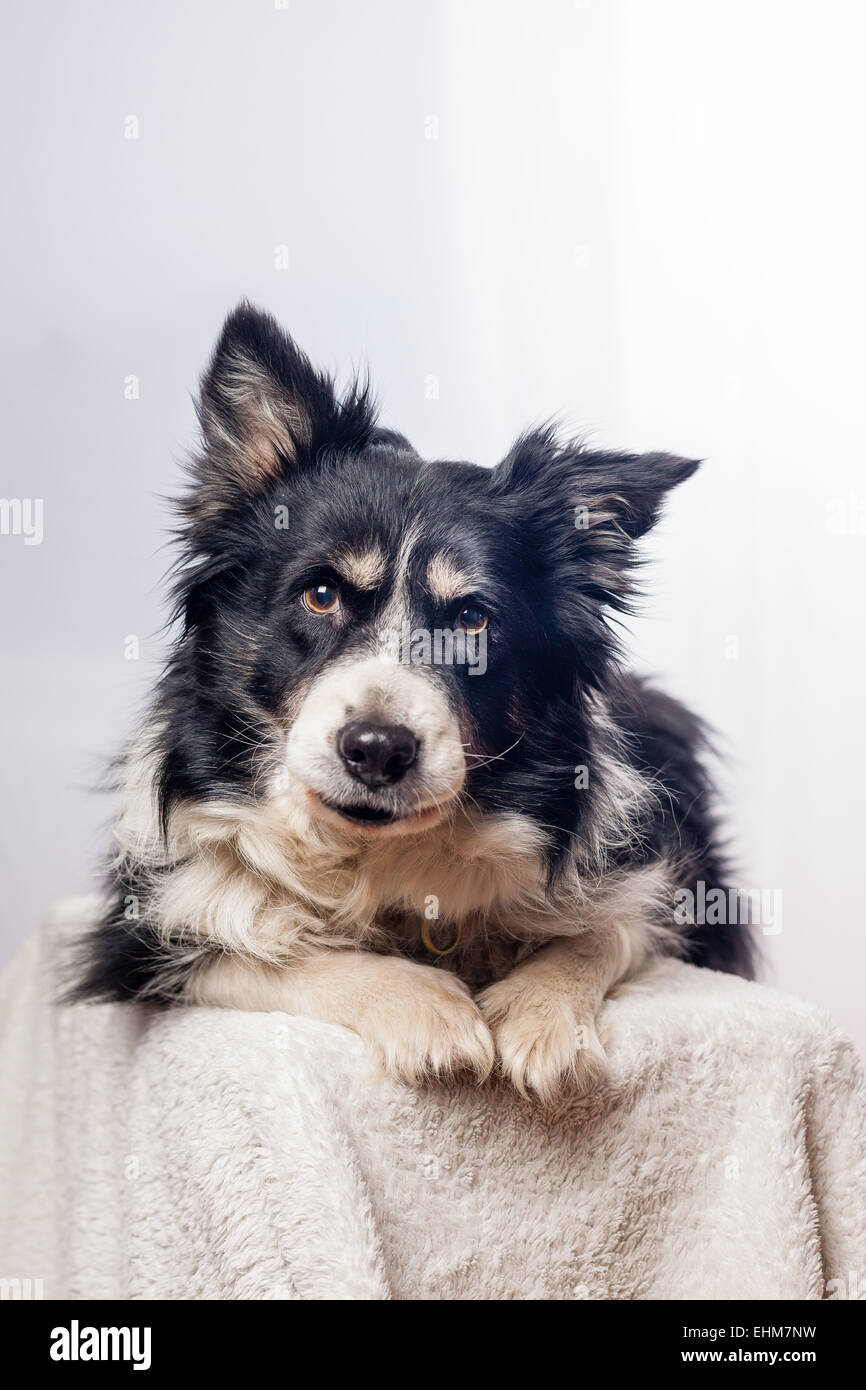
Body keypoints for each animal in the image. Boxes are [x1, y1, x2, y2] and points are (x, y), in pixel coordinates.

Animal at [72, 301, 750, 1095]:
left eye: (472, 619)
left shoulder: (660, 894)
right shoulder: (142, 944)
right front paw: (431, 1011)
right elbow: (273, 954)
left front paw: (543, 1020)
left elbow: (602, 932)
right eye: (321, 594)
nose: (375, 749)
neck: (379, 857)